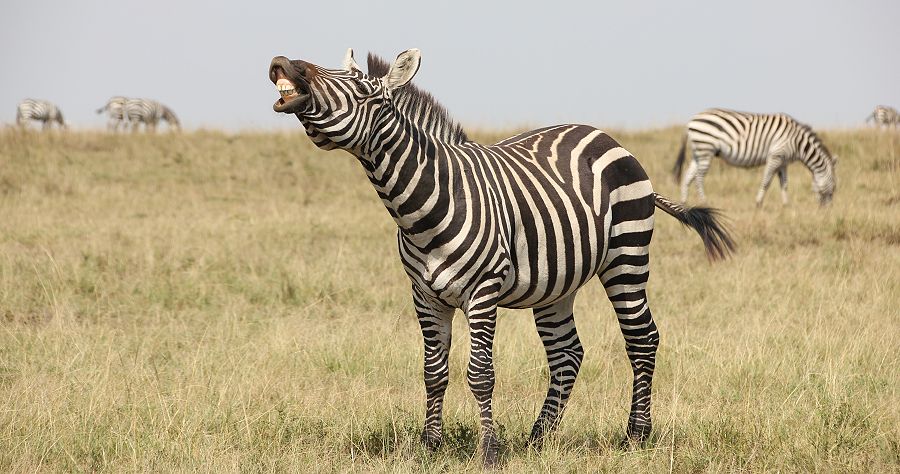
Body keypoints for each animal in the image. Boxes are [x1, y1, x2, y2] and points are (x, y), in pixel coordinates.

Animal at [270, 49, 736, 466]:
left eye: (365, 92)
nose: (284, 62)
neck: (422, 204)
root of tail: (604, 136)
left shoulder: (483, 291)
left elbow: (480, 375)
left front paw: (489, 452)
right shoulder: (425, 296)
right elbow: (433, 372)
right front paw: (429, 448)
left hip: (627, 257)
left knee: (642, 338)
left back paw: (636, 436)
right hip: (557, 284)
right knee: (567, 354)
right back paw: (538, 439)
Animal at [672, 111, 840, 207]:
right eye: (834, 187)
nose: (827, 208)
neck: (798, 143)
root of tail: (690, 122)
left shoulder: (783, 162)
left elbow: (784, 183)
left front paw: (786, 205)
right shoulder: (775, 155)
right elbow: (766, 181)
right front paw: (758, 202)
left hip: (699, 152)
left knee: (688, 175)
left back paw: (684, 201)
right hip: (706, 148)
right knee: (699, 178)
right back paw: (704, 201)